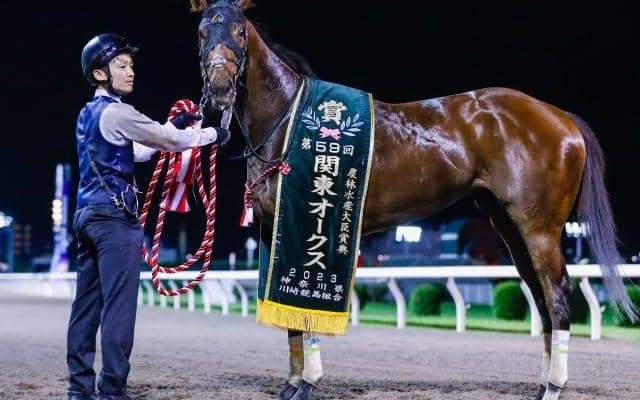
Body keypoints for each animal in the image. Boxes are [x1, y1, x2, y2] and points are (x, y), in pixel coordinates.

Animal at [188, 1, 637, 399]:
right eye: (202, 31)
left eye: (239, 31)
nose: (221, 88)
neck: (289, 120)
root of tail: (561, 118)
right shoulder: (275, 229)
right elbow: (291, 316)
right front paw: (292, 384)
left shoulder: (310, 223)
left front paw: (308, 384)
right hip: (511, 228)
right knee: (541, 297)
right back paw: (543, 384)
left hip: (540, 228)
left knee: (558, 294)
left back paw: (555, 387)